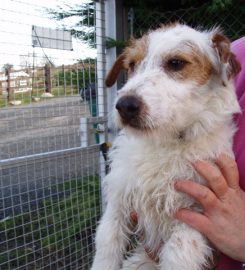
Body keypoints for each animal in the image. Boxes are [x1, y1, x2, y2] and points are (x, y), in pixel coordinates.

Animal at [91, 23, 240, 270]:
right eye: (132, 65)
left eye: (176, 63)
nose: (125, 105)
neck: (165, 142)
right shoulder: (118, 202)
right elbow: (107, 245)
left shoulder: (195, 216)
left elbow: (178, 254)